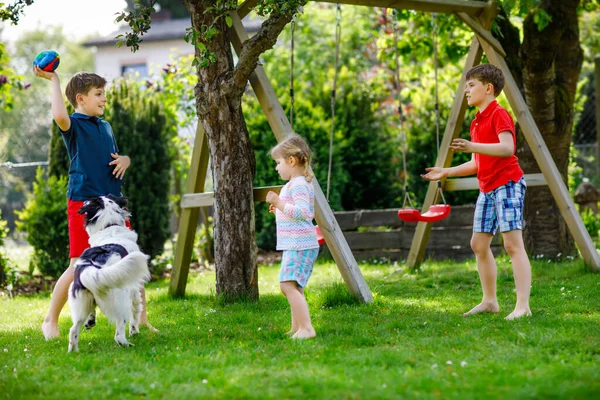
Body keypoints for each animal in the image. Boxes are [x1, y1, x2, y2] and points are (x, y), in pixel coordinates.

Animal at [67, 195, 150, 352]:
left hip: (81, 303)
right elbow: (136, 310)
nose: (84, 201)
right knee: (118, 334)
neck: (110, 226)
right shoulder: (134, 288)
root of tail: (90, 266)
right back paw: (128, 344)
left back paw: (74, 352)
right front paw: (134, 331)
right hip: (121, 302)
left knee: (73, 330)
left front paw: (91, 321)